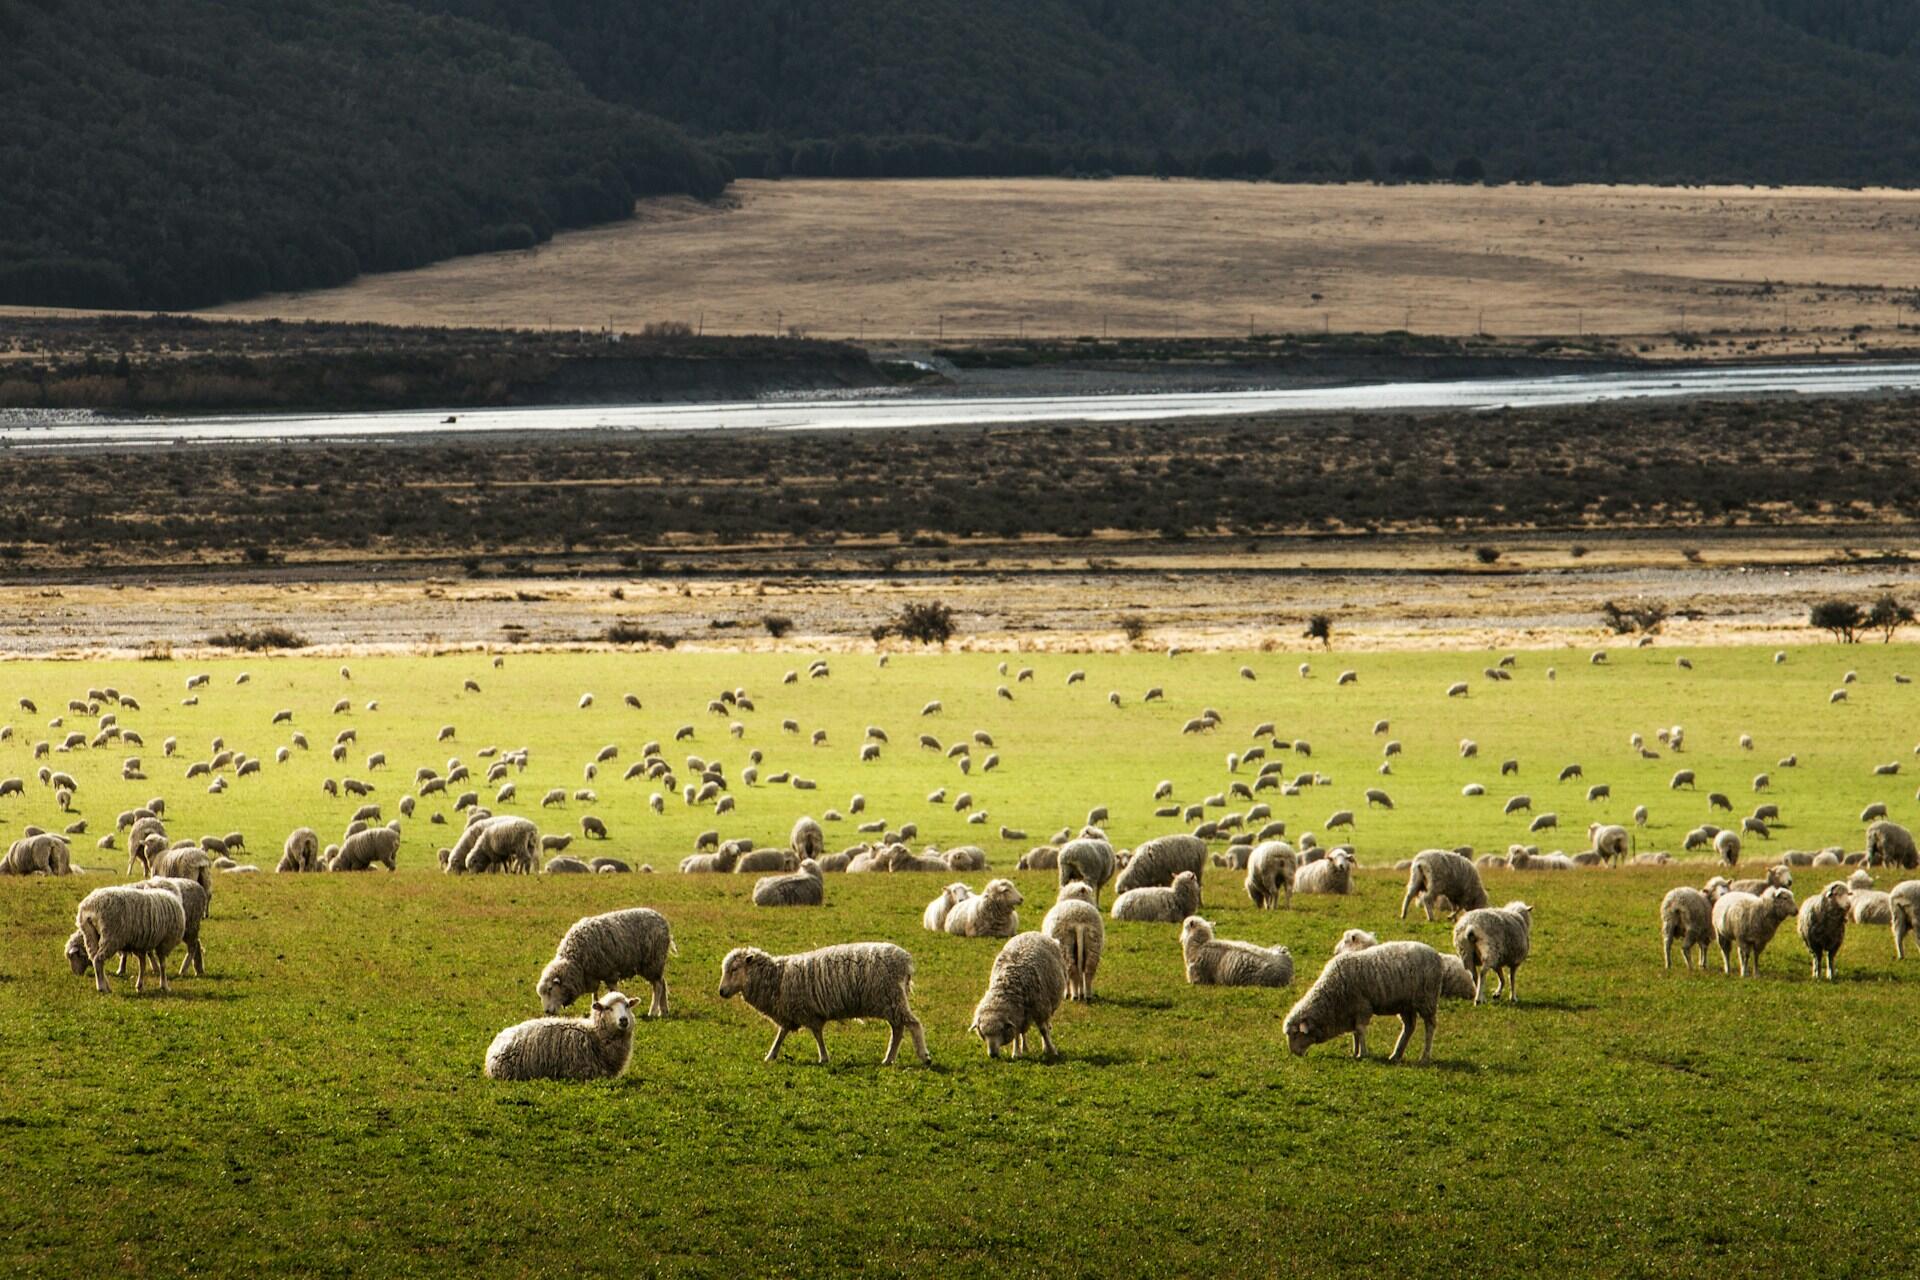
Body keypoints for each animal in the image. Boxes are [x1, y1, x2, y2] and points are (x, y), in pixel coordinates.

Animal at [718, 942, 929, 1066]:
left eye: (734, 969)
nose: (721, 992)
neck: (777, 978)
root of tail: (905, 960)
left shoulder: (807, 1012)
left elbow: (817, 1035)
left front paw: (824, 1057)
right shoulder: (790, 1013)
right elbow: (781, 1034)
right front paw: (771, 1056)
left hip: (891, 997)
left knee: (913, 1024)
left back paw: (924, 1056)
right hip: (890, 1001)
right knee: (898, 1029)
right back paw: (889, 1059)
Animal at [1283, 941, 1443, 1064]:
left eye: (1295, 1034)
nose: (1294, 1053)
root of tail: (1436, 955)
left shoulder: (1362, 1007)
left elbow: (1360, 1030)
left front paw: (1363, 1054)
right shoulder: (1351, 1010)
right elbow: (1355, 1032)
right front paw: (1355, 1052)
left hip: (1427, 999)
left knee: (1430, 1027)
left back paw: (1424, 1057)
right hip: (1406, 1005)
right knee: (1409, 1027)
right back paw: (1396, 1055)